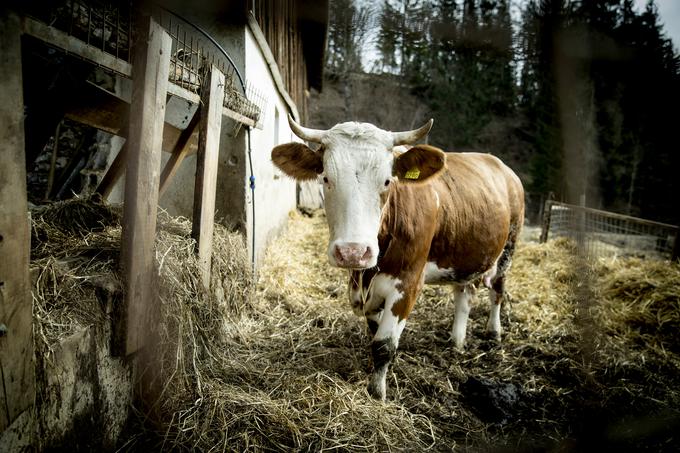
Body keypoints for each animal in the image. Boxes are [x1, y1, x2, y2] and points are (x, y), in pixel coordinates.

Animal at [270, 115, 524, 400]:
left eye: (387, 181)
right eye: (325, 178)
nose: (353, 252)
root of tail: (501, 166)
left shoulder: (408, 283)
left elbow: (384, 344)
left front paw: (377, 393)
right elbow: (374, 333)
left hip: (508, 248)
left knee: (498, 290)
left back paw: (494, 332)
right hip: (466, 256)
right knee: (464, 294)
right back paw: (457, 341)